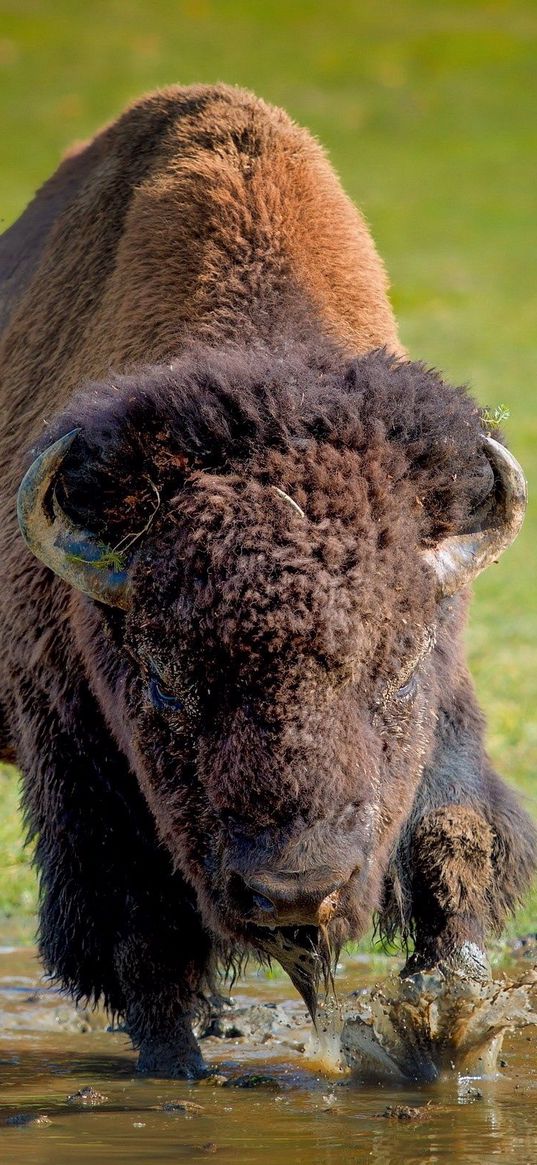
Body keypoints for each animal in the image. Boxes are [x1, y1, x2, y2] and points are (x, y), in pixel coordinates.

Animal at [0, 86, 531, 1076]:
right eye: (165, 680)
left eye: (401, 667)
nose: (294, 891)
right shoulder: (78, 761)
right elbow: (145, 934)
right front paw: (176, 1067)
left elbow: (455, 840)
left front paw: (452, 1033)